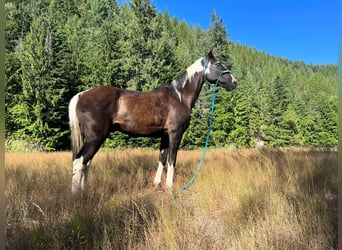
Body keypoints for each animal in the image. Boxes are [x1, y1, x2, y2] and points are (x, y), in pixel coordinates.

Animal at [68, 49, 236, 197]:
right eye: (218, 64)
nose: (234, 82)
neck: (179, 96)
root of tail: (81, 95)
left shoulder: (165, 135)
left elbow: (162, 158)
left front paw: (157, 185)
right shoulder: (175, 134)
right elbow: (172, 160)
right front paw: (169, 188)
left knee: (85, 163)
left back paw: (86, 193)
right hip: (96, 137)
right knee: (80, 162)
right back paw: (76, 197)